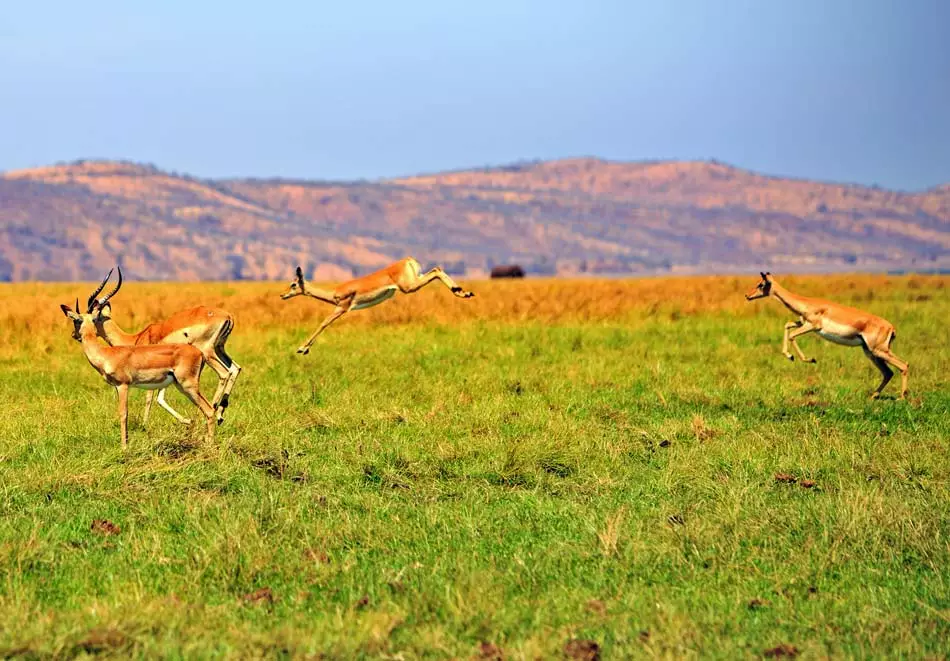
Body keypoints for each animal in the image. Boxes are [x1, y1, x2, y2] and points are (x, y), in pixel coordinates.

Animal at [60, 300, 216, 448]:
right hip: (181, 386)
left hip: (188, 385)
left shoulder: (123, 385)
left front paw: (124, 447)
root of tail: (199, 353)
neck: (106, 354)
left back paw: (210, 445)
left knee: (209, 410)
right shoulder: (117, 387)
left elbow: (123, 413)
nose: (74, 335)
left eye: (76, 321)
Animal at [83, 266, 242, 426]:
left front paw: (144, 424)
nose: (79, 334)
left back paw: (208, 414)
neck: (137, 338)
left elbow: (149, 397)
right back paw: (219, 414)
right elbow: (160, 398)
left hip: (207, 352)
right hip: (219, 349)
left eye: (92, 318)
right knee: (235, 368)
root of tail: (228, 316)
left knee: (224, 373)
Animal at [280, 255, 476, 354]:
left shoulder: (342, 308)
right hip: (416, 280)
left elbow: (323, 323)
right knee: (437, 269)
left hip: (409, 287)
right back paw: (463, 292)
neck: (334, 292)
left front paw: (302, 348)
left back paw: (462, 292)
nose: (283, 295)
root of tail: (408, 260)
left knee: (437, 269)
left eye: (293, 284)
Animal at [748, 272, 912, 398]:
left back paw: (901, 398)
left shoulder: (812, 326)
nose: (747, 296)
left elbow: (792, 335)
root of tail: (891, 328)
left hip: (878, 351)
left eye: (761, 284)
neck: (807, 304)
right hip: (871, 352)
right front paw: (790, 356)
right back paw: (874, 396)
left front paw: (809, 359)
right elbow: (787, 325)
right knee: (888, 372)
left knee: (903, 365)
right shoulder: (802, 323)